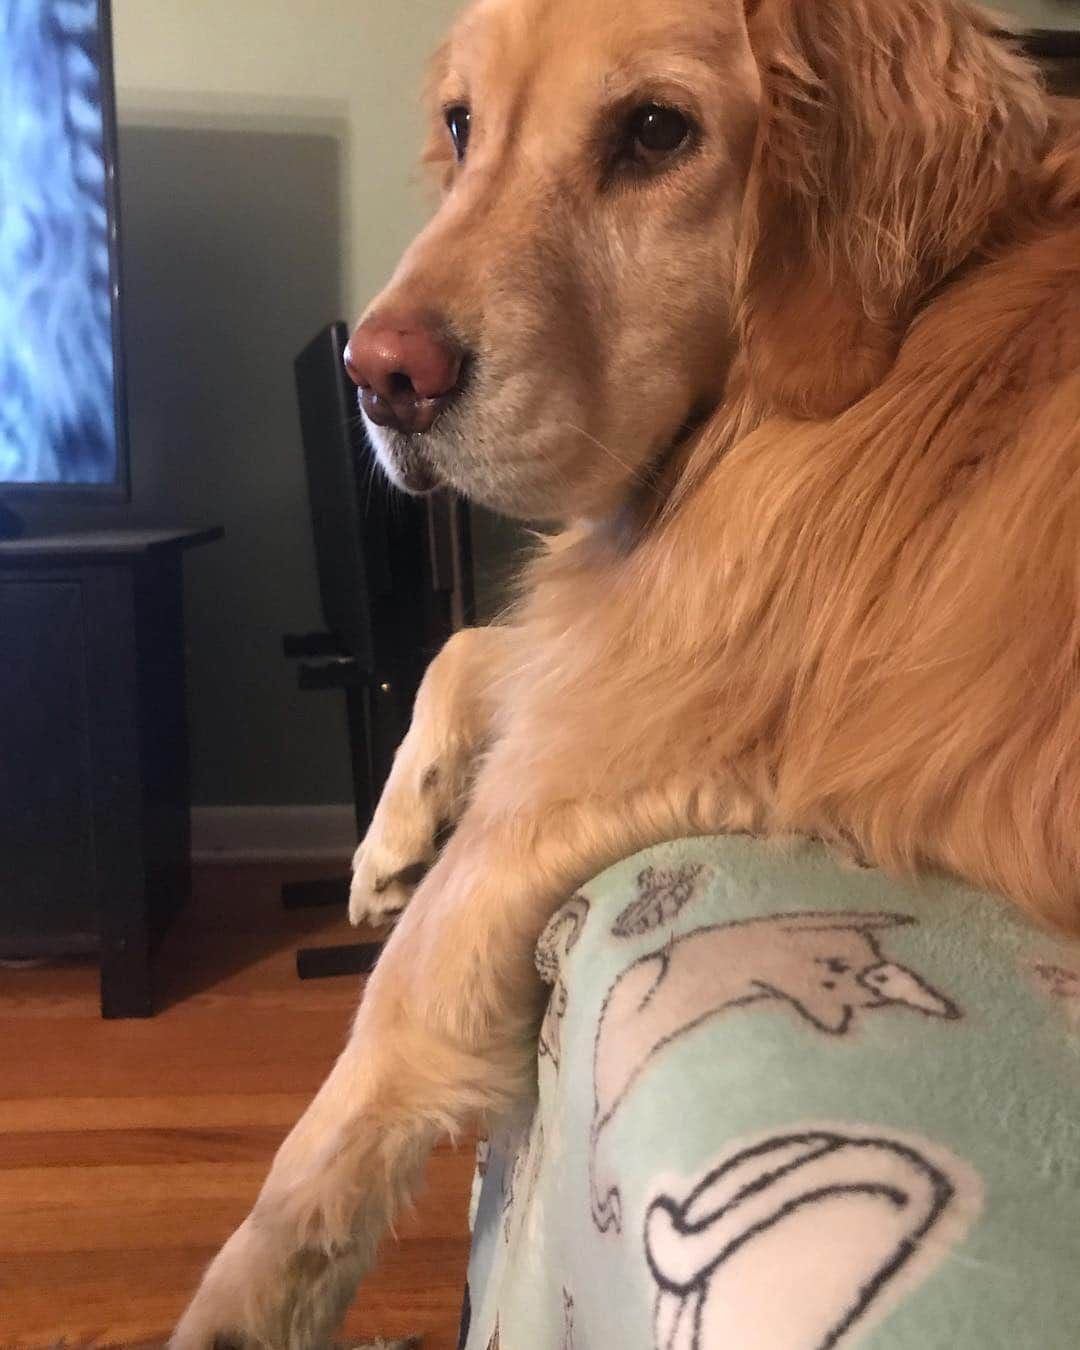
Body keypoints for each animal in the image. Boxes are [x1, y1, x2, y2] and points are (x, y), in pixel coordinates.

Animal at [172, 0, 1074, 1344]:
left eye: (657, 131)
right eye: (463, 125)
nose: (380, 378)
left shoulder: (599, 749)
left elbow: (375, 1046)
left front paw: (245, 1297)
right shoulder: (605, 650)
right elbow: (468, 647)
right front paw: (389, 838)